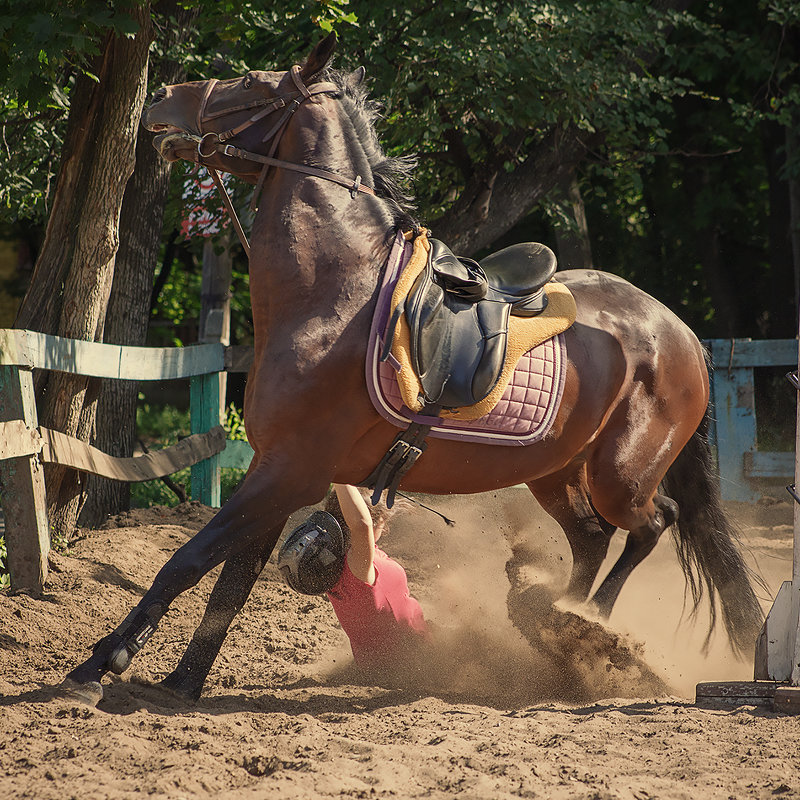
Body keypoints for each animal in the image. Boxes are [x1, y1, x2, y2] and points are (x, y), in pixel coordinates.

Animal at [64, 34, 764, 704]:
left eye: (252, 84)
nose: (161, 96)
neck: (335, 293)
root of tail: (679, 332)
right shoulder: (278, 470)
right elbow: (229, 582)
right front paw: (181, 683)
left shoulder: (288, 470)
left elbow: (188, 561)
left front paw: (99, 665)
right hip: (555, 468)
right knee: (592, 536)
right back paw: (556, 624)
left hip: (621, 473)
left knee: (651, 524)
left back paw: (583, 626)